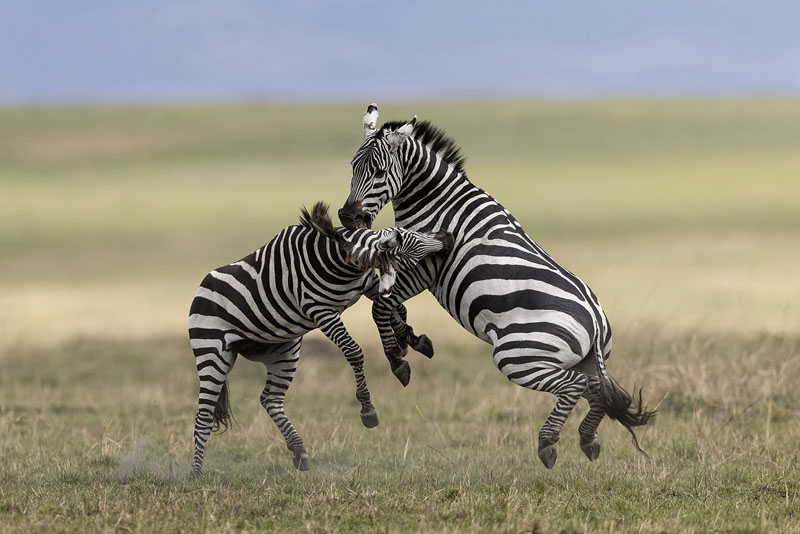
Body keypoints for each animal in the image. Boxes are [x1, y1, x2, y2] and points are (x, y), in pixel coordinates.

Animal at [187, 201, 452, 477]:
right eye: (413, 242)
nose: (449, 236)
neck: (340, 259)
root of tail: (200, 288)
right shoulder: (321, 312)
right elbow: (355, 350)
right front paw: (368, 408)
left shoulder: (369, 284)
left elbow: (394, 309)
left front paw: (409, 342)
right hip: (212, 353)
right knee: (204, 415)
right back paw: (196, 476)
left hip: (284, 351)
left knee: (270, 399)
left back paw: (298, 451)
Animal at [338, 104, 655, 469]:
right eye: (352, 168)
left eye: (378, 172)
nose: (346, 217)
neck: (436, 201)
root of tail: (596, 321)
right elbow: (387, 301)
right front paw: (412, 339)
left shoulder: (427, 264)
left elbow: (380, 302)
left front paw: (398, 357)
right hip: (579, 361)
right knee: (595, 389)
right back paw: (588, 439)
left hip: (518, 356)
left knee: (574, 386)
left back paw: (548, 443)